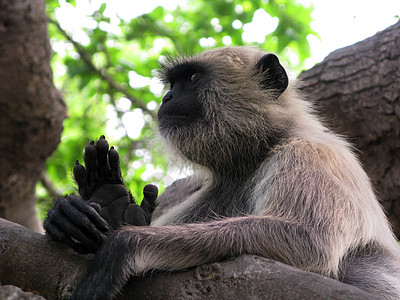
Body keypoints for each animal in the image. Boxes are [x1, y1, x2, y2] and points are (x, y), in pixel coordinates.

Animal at [50, 45, 400, 298]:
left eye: (192, 79)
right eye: (173, 83)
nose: (167, 97)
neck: (262, 150)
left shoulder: (310, 154)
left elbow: (310, 242)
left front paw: (124, 245)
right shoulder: (224, 186)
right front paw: (95, 209)